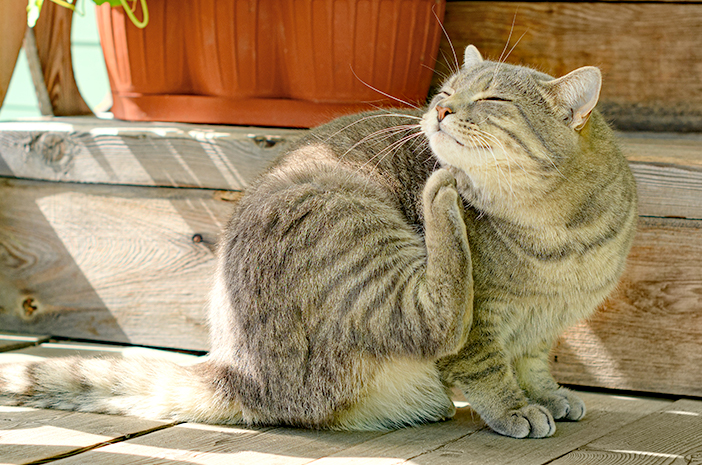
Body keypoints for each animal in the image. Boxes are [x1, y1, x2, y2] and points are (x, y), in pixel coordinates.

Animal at [0, 45, 640, 436]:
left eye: (492, 99)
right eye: (447, 90)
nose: (438, 109)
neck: (560, 239)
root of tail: (241, 372)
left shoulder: (543, 328)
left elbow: (532, 365)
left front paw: (548, 395)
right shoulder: (485, 329)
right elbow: (487, 370)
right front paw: (515, 410)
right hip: (355, 216)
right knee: (434, 316)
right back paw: (440, 193)